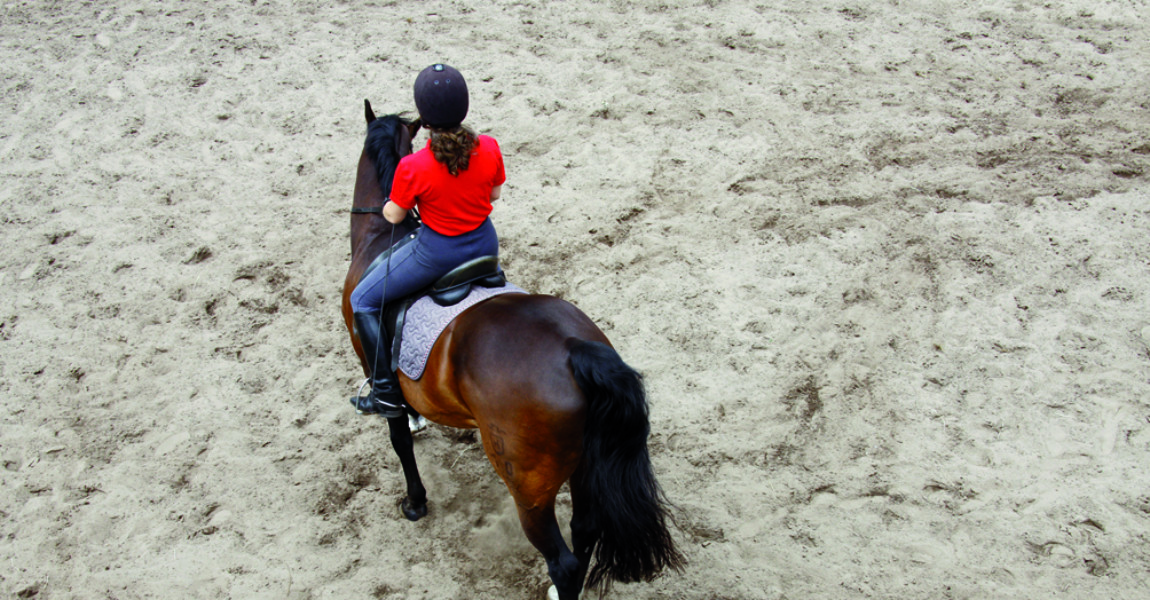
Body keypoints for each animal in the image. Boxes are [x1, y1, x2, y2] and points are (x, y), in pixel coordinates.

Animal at [340, 100, 680, 593]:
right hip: (585, 467)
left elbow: (398, 438)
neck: (383, 239)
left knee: (562, 558)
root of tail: (574, 350)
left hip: (529, 488)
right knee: (585, 528)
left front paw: (415, 502)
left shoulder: (371, 360)